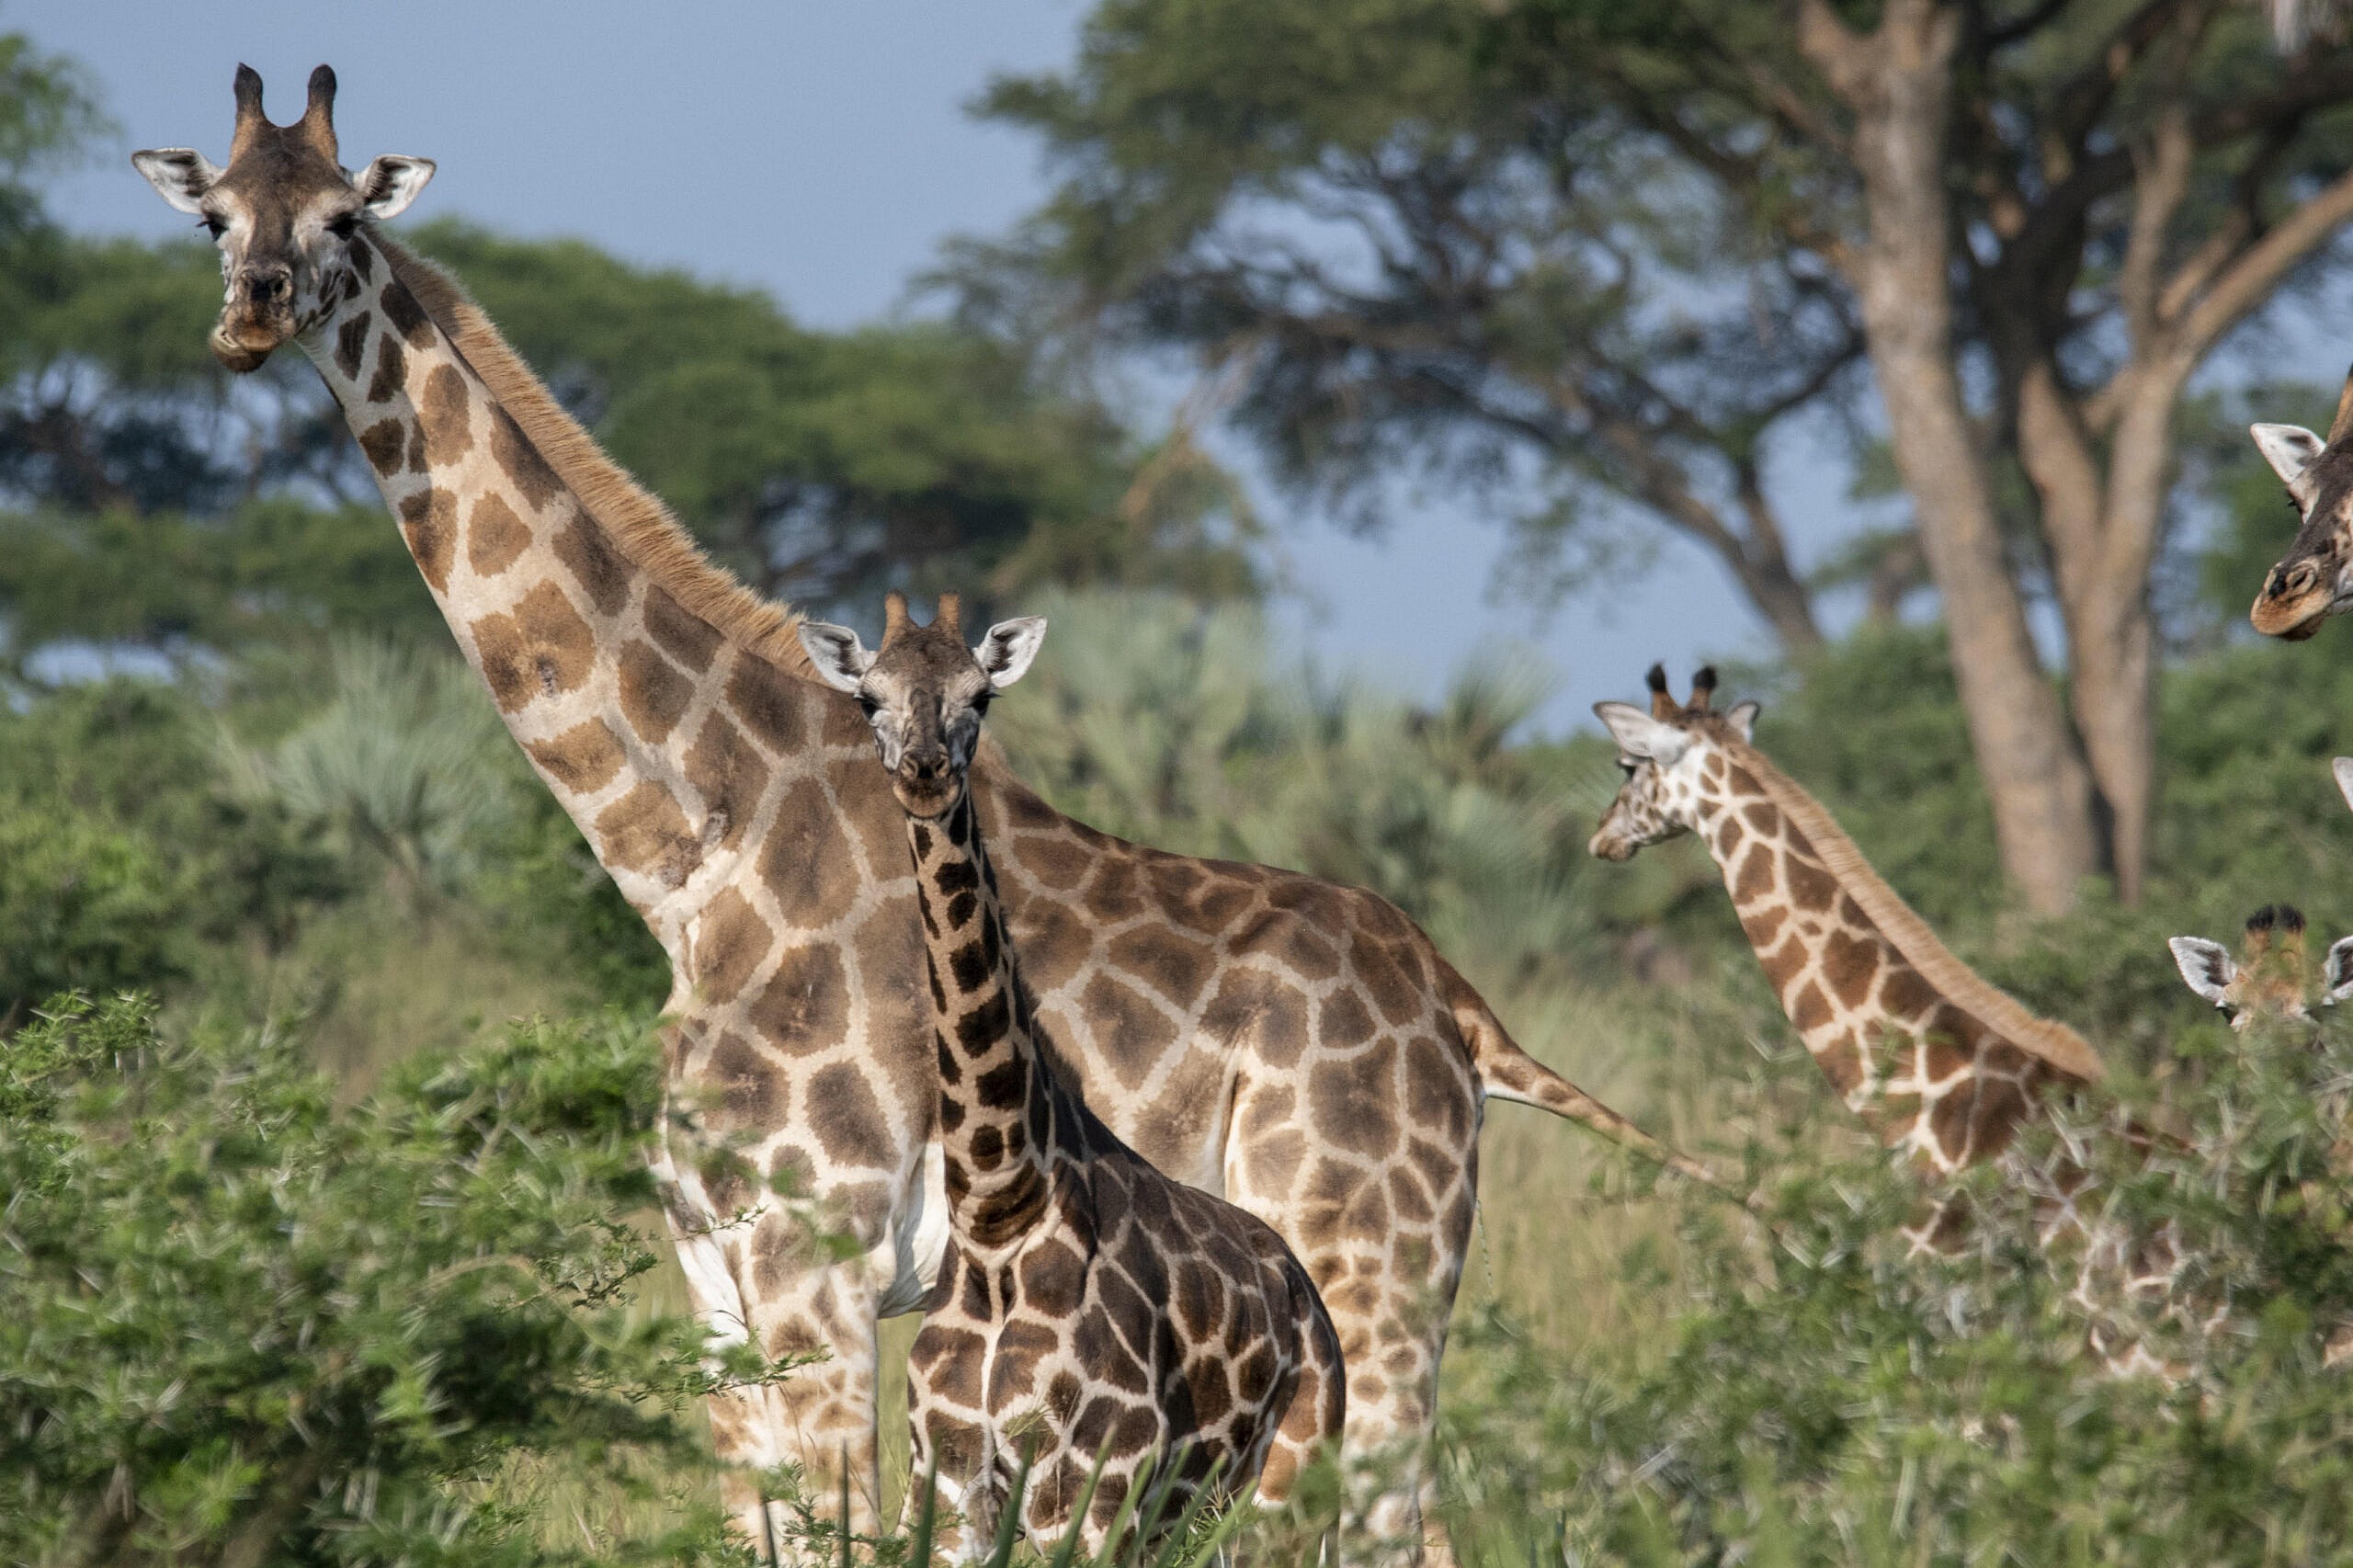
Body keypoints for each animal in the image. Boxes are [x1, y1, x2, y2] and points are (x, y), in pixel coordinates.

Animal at [797, 593, 1345, 1554]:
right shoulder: (949, 1486)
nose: (926, 771)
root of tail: (1308, 1299)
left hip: (1286, 1492)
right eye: (869, 698)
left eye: (980, 695)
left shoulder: (1088, 1490)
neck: (996, 1210)